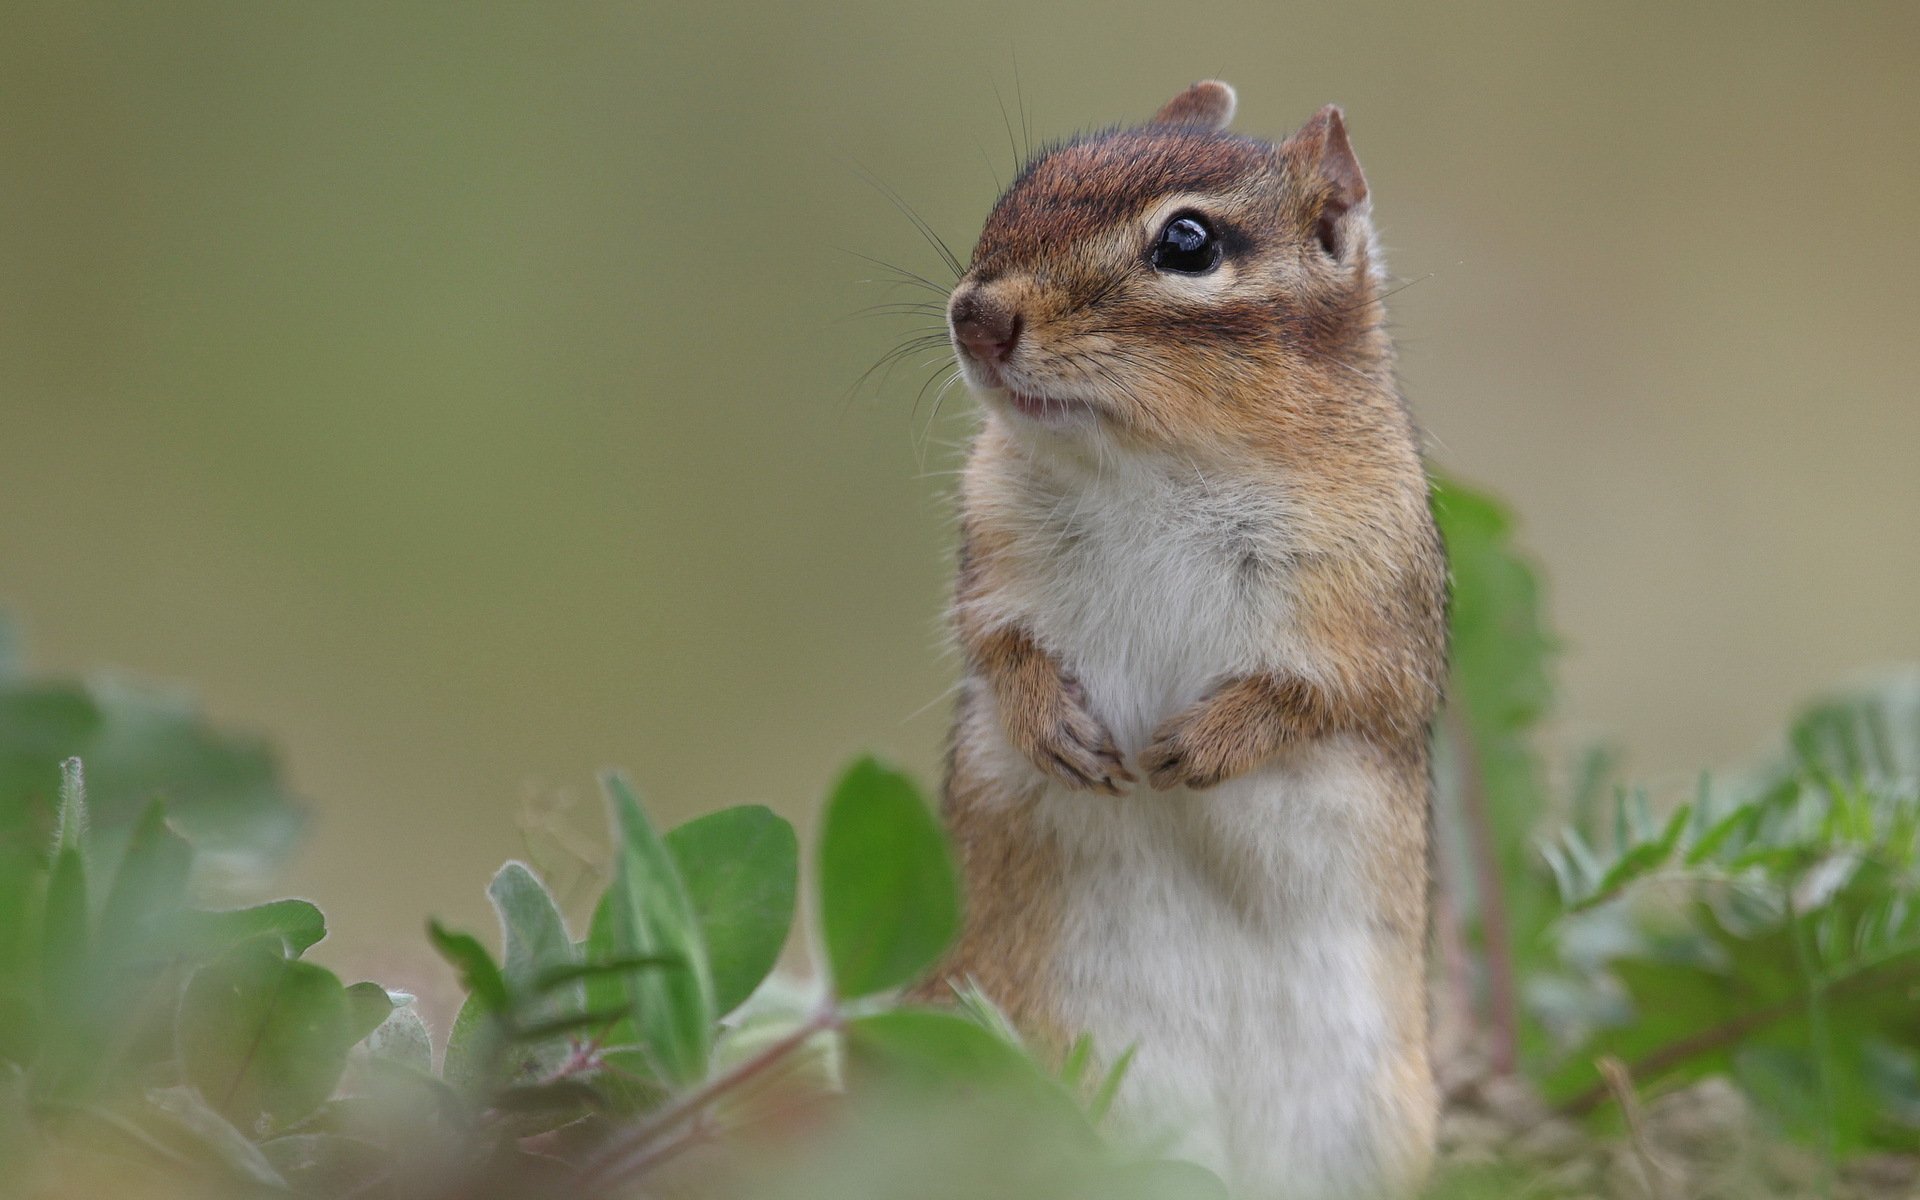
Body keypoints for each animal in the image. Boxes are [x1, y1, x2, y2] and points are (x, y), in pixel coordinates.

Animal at [925, 81, 1448, 1199]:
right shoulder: (989, 562)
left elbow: (1330, 698)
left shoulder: (1380, 619)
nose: (974, 314)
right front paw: (1051, 725)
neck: (1157, 464)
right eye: (1026, 179)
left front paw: (1203, 744)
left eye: (1188, 242)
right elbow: (995, 649)